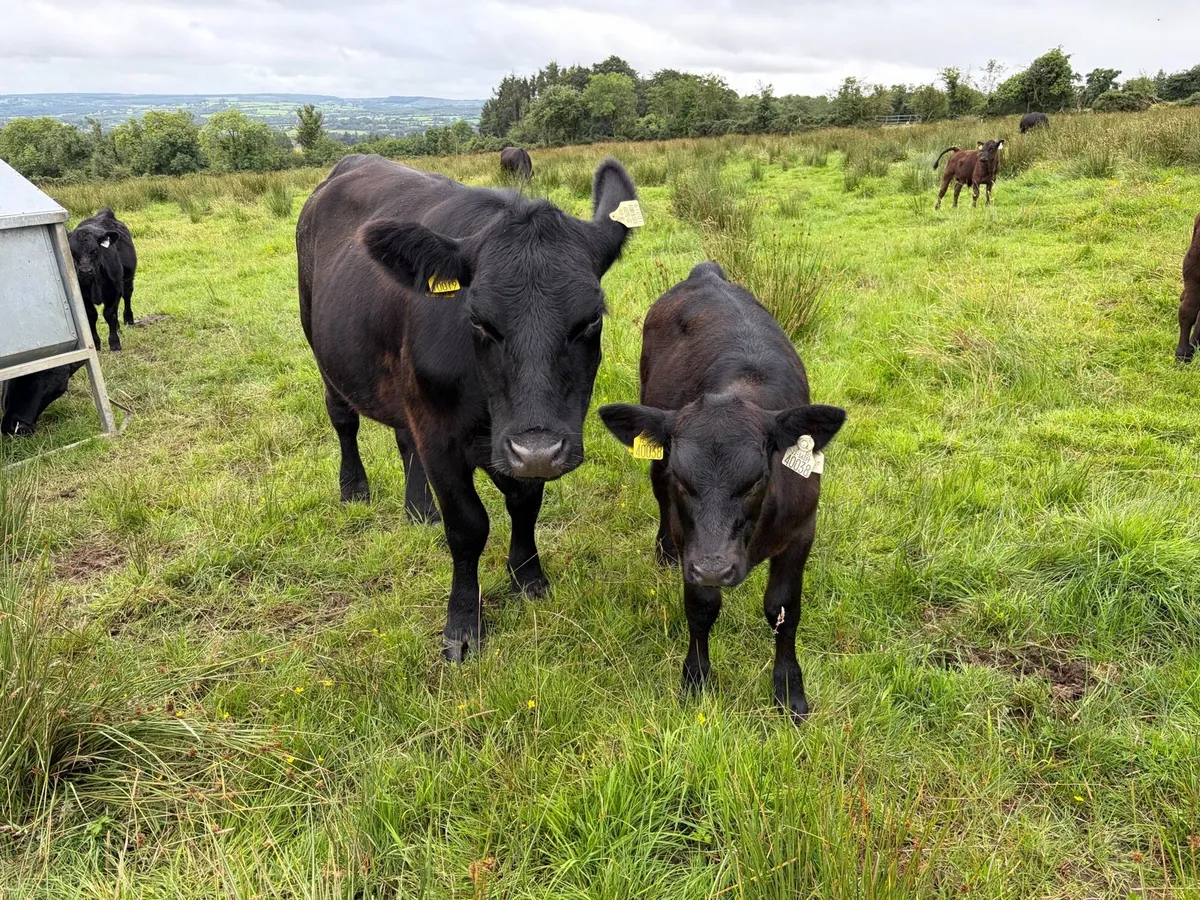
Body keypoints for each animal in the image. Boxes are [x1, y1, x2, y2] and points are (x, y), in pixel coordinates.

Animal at [68, 207, 138, 351]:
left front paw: (114, 343)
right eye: (73, 252)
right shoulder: (83, 297)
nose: (85, 271)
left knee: (127, 296)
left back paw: (128, 320)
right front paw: (96, 343)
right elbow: (91, 316)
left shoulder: (114, 291)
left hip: (128, 279)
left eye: (95, 250)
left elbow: (109, 314)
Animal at [296, 153, 638, 661]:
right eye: (478, 321)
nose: (539, 452)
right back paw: (354, 488)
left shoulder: (516, 442)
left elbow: (525, 505)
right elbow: (468, 527)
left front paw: (528, 577)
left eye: (590, 319)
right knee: (343, 421)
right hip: (323, 350)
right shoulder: (442, 438)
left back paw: (419, 508)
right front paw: (462, 625)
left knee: (403, 438)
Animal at [598, 262, 846, 722]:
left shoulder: (802, 529)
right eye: (682, 478)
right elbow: (701, 607)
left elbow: (784, 608)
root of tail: (706, 274)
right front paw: (696, 680)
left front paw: (789, 689)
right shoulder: (691, 540)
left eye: (757, 480)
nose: (715, 568)